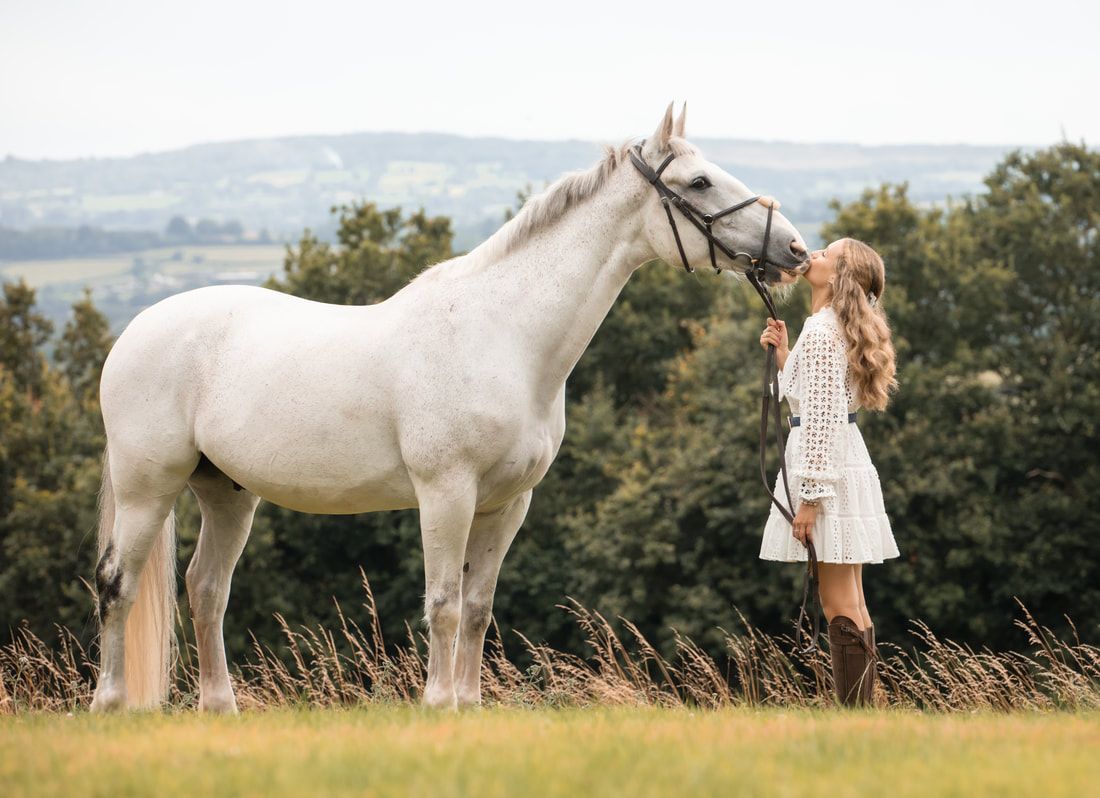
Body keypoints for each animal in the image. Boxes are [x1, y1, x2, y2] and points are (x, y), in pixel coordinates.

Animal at [89, 104, 808, 713]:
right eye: (700, 181)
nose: (796, 250)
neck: (502, 334)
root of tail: (134, 331)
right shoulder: (446, 492)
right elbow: (443, 603)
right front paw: (437, 706)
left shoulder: (507, 504)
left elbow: (480, 607)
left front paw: (469, 705)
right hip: (148, 487)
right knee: (118, 584)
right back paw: (110, 704)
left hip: (227, 493)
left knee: (206, 590)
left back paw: (219, 708)